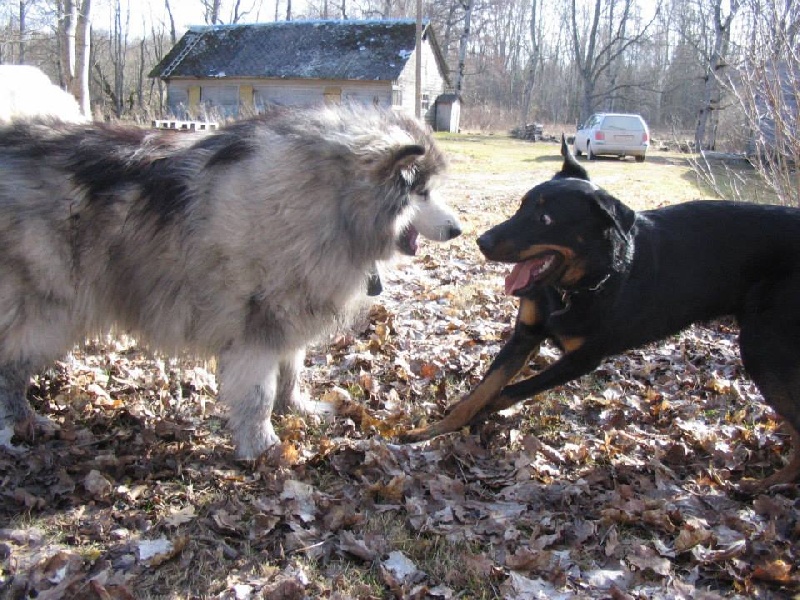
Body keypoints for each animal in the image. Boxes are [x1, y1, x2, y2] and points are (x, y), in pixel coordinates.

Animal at [0, 105, 462, 458]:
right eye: (421, 192)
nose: (459, 230)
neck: (328, 202)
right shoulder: (256, 324)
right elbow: (258, 394)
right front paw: (264, 446)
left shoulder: (289, 313)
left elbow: (290, 371)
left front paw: (297, 408)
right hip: (47, 314)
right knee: (11, 366)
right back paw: (20, 425)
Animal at [406, 138, 800, 490]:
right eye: (520, 207)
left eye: (546, 218)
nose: (480, 241)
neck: (574, 288)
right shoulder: (525, 336)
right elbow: (482, 390)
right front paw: (432, 429)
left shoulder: (582, 359)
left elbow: (506, 391)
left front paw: (479, 419)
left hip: (763, 348)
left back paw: (765, 485)